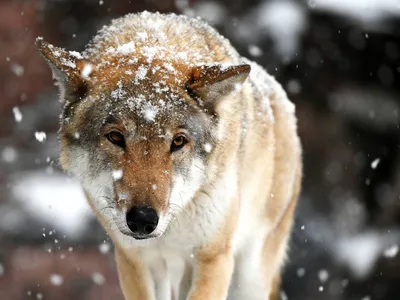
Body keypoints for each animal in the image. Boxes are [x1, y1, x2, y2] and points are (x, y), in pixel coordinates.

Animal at [36, 11, 302, 300]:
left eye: (178, 141)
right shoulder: (133, 260)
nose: (143, 220)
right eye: (116, 137)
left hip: (250, 276)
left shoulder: (214, 256)